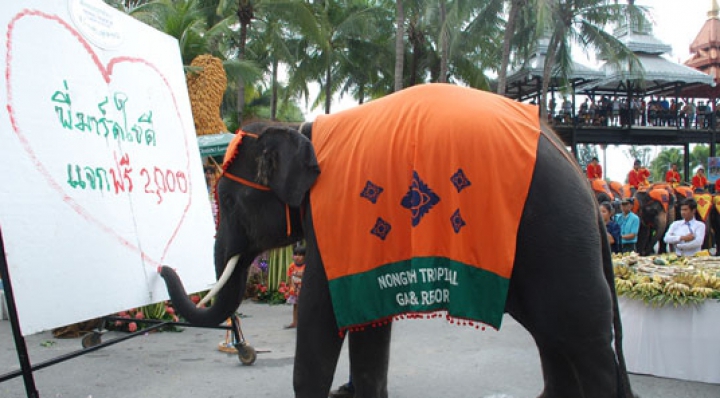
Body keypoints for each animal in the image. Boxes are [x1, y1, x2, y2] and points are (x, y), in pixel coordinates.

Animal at [160, 84, 632, 398]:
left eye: (227, 200)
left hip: (558, 238)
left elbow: (320, 310)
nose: (165, 266)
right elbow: (368, 316)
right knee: (552, 334)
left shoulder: (337, 216)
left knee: (581, 335)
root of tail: (582, 177)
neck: (300, 129)